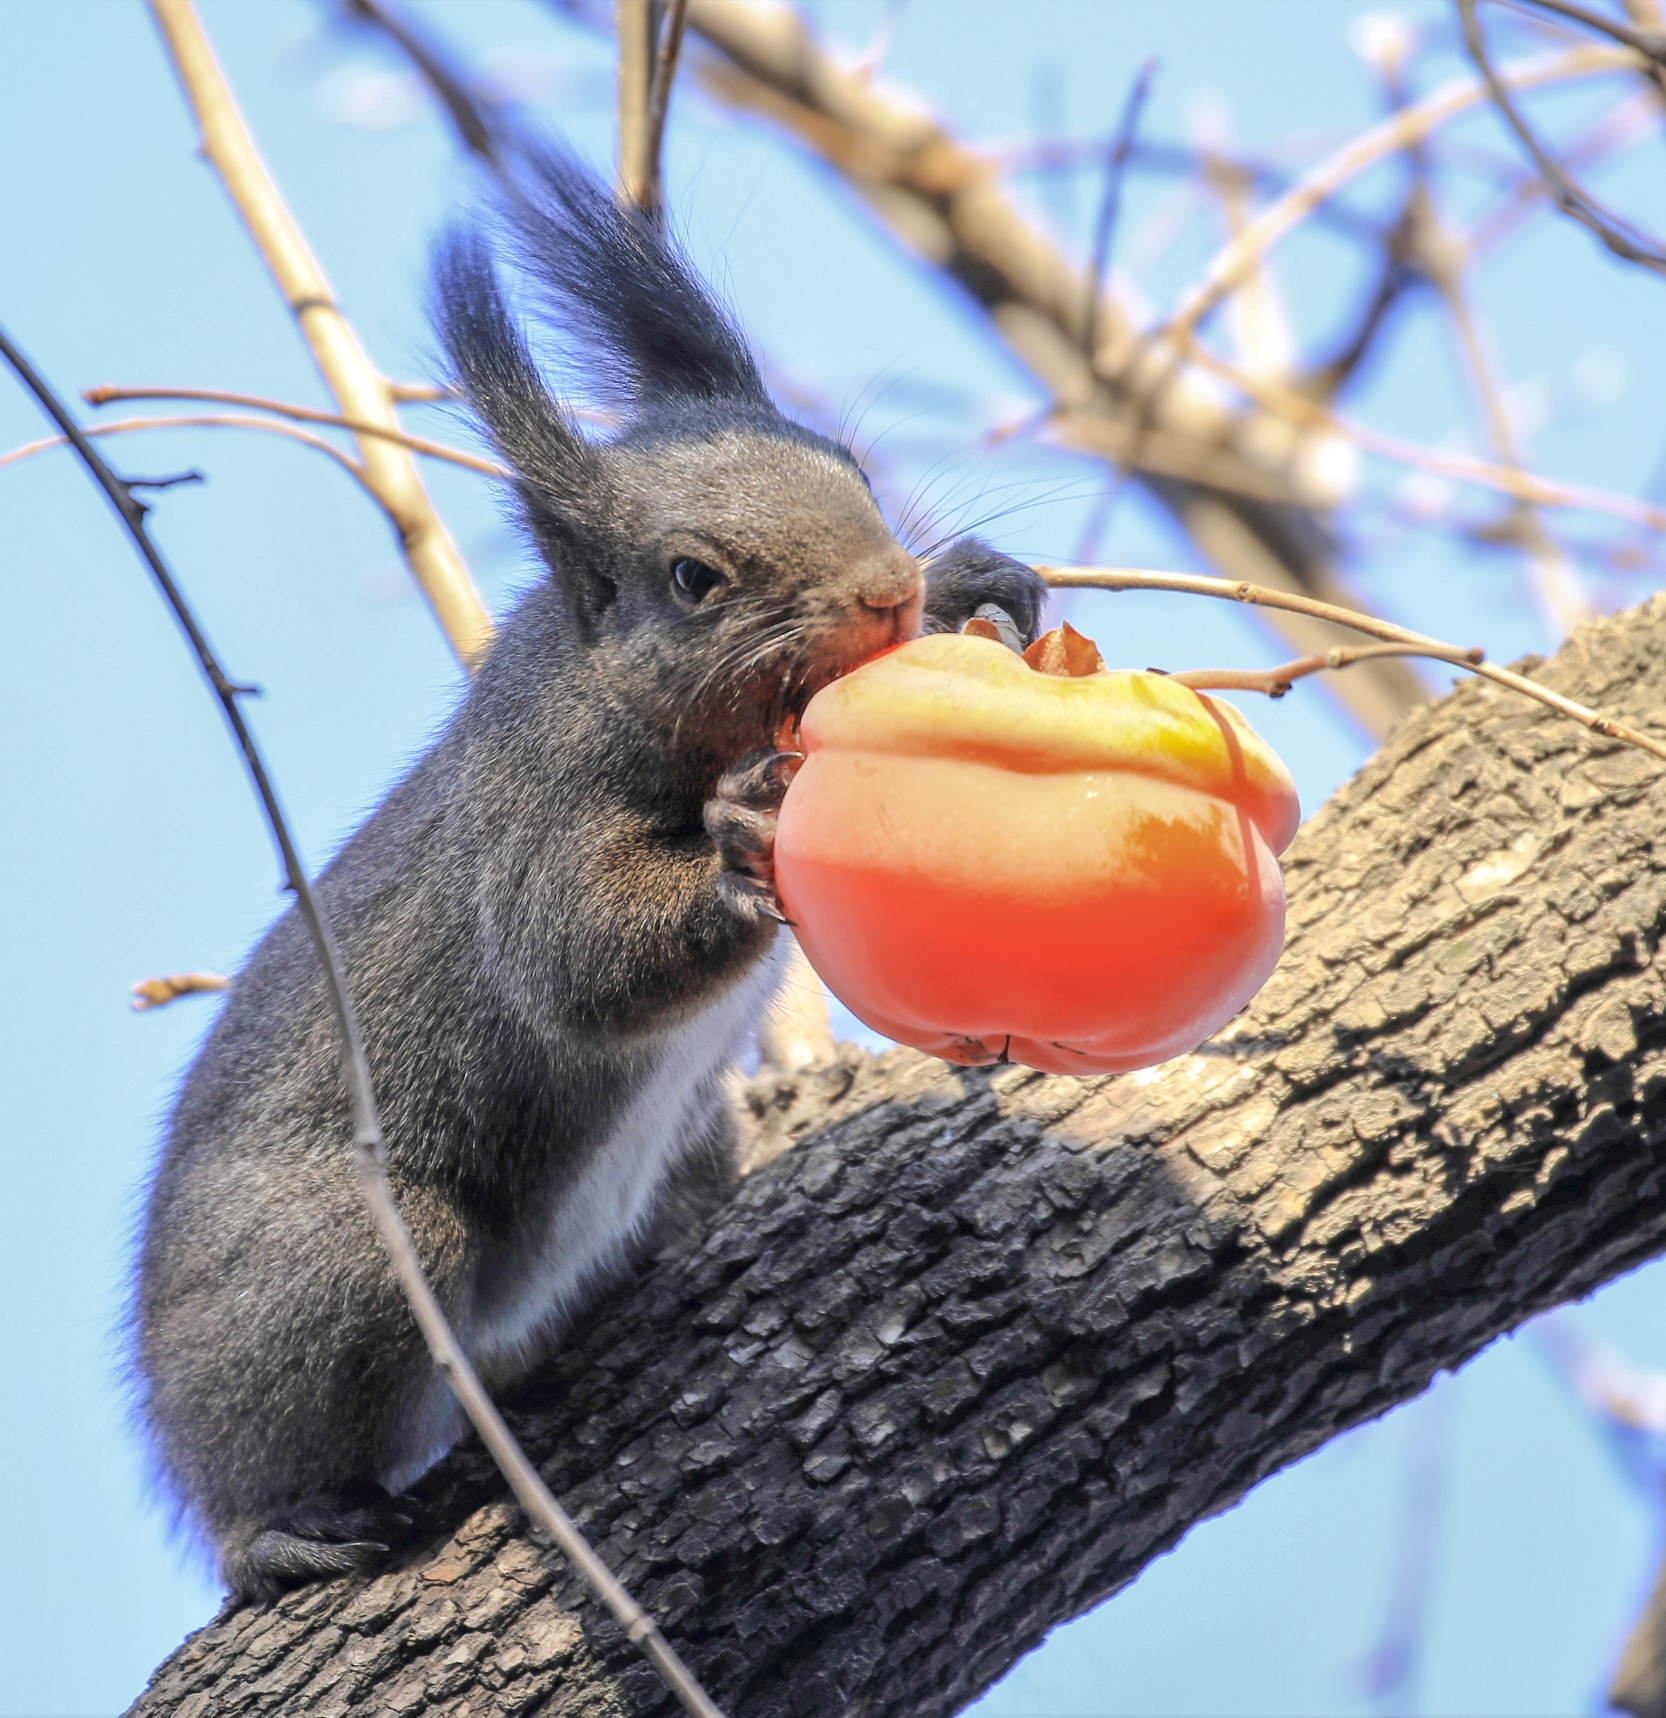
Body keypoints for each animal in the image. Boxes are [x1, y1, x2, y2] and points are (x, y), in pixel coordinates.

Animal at [133, 147, 1037, 1594]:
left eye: (844, 460)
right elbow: (574, 965)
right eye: (693, 578)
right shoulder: (534, 812)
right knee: (261, 1461)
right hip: (348, 1260)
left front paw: (980, 585)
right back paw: (280, 1524)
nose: (887, 593)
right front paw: (737, 851)